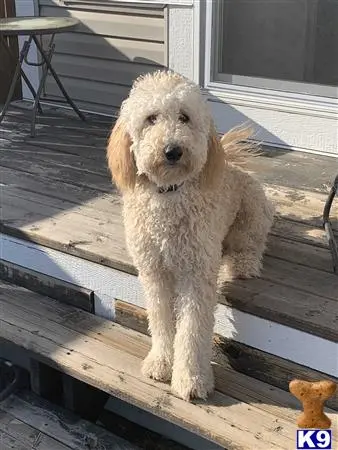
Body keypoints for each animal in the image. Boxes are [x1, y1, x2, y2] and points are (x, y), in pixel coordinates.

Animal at [107, 70, 274, 400]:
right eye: (151, 119)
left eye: (184, 117)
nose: (173, 150)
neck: (169, 195)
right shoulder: (154, 272)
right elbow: (160, 319)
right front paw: (160, 363)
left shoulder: (196, 274)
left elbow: (193, 330)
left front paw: (191, 379)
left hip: (252, 212)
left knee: (251, 245)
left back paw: (242, 265)